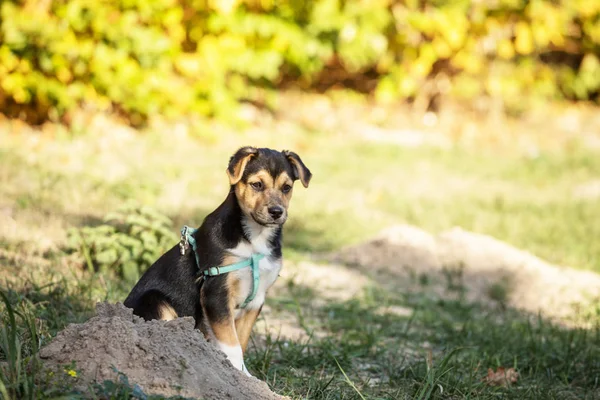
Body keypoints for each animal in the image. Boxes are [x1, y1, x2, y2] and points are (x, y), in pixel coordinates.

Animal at [121, 146, 310, 376]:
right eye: (257, 184)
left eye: (286, 188)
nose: (276, 212)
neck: (253, 239)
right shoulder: (216, 292)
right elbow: (231, 344)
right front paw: (238, 376)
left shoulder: (256, 299)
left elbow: (241, 341)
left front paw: (242, 376)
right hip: (155, 301)